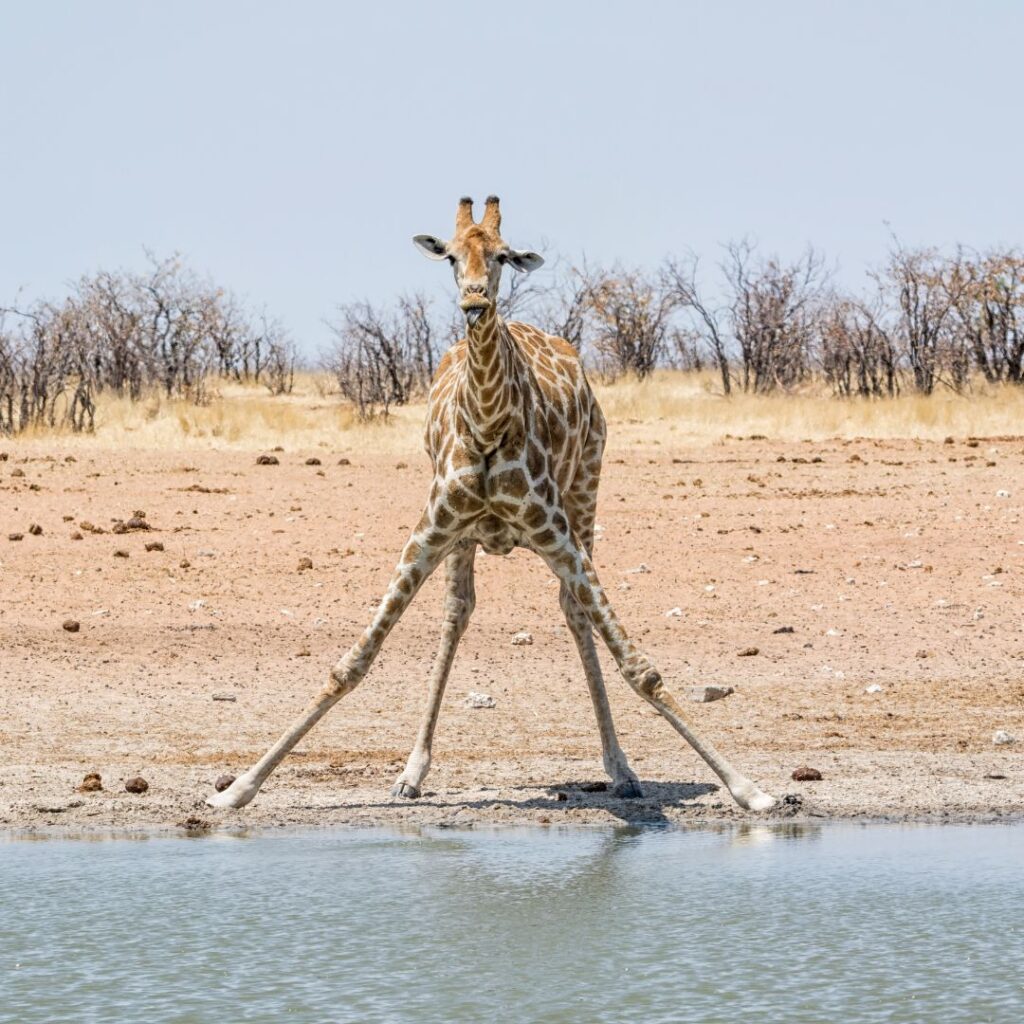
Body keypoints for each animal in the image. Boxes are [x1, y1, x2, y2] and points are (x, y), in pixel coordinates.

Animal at [207, 196, 776, 813]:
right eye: (451, 257)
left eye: (503, 256)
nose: (476, 300)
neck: (485, 423)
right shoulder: (429, 531)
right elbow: (351, 664)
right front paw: (237, 788)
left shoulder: (559, 536)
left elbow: (639, 667)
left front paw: (748, 789)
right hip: (462, 539)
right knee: (457, 611)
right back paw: (413, 771)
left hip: (586, 489)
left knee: (573, 613)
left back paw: (620, 770)